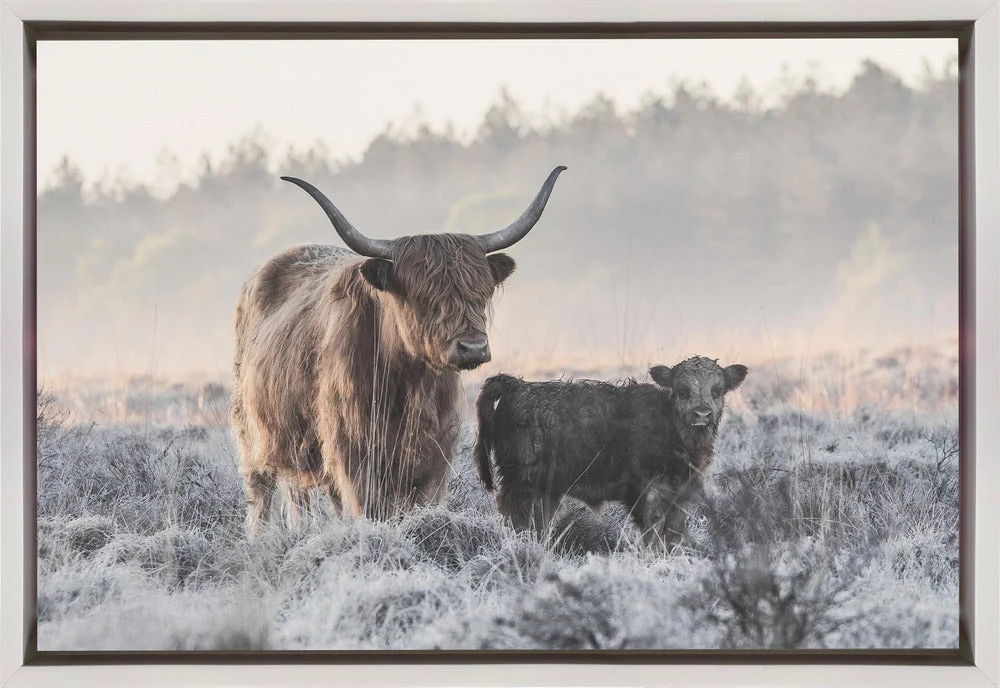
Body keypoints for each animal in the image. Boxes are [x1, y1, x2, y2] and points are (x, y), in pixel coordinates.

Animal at [230, 166, 566, 533]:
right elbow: (368, 509)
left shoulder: (434, 458)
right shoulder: (354, 456)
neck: (410, 383)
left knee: (300, 495)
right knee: (262, 496)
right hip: (253, 435)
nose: (473, 347)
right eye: (424, 297)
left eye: (480, 292)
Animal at [473, 356, 748, 552]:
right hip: (522, 482)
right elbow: (653, 534)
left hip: (547, 491)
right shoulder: (648, 492)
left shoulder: (680, 494)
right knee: (516, 519)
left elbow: (673, 536)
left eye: (718, 390)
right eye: (682, 390)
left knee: (539, 524)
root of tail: (517, 386)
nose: (702, 414)